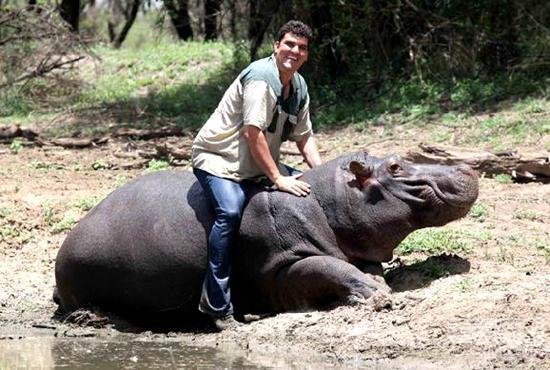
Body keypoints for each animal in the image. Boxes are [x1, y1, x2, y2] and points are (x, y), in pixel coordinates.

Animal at [54, 152, 480, 316]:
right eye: (394, 166)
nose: (468, 168)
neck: (330, 202)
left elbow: (359, 266)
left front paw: (379, 285)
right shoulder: (280, 268)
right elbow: (328, 267)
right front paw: (377, 296)